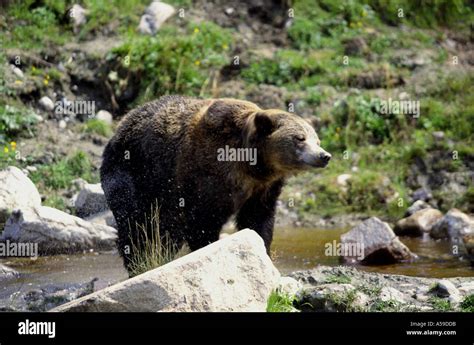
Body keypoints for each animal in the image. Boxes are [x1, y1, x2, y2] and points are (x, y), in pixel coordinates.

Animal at [101, 95, 330, 270]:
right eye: (299, 138)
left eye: (317, 140)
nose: (324, 155)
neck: (252, 165)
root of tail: (120, 126)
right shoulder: (206, 174)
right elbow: (202, 222)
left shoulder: (264, 188)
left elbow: (258, 220)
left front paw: (263, 249)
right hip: (136, 175)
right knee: (137, 226)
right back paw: (140, 263)